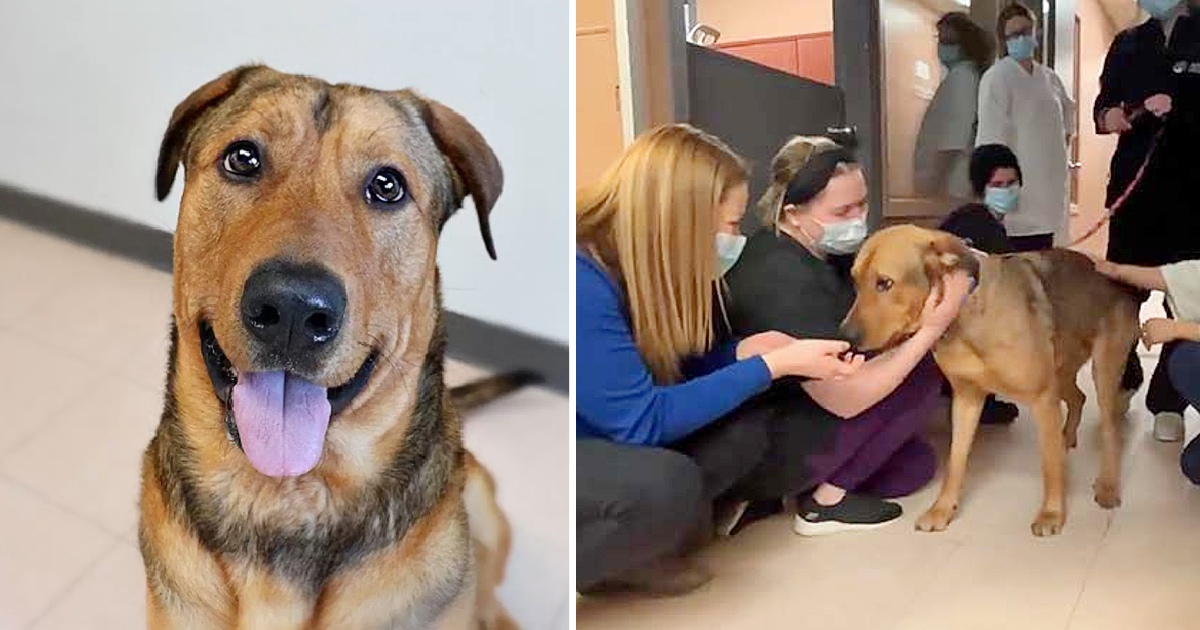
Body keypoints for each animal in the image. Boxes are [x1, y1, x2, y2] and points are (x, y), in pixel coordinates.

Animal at [840, 225, 1137, 535]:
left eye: (884, 283)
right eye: (855, 282)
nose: (844, 337)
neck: (962, 319)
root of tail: (1120, 283)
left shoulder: (1043, 398)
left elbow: (1049, 465)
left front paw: (1051, 513)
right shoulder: (966, 398)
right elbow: (956, 462)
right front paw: (942, 510)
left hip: (1102, 372)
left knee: (1110, 429)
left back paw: (1107, 485)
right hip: (1061, 368)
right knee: (1079, 397)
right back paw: (1066, 438)